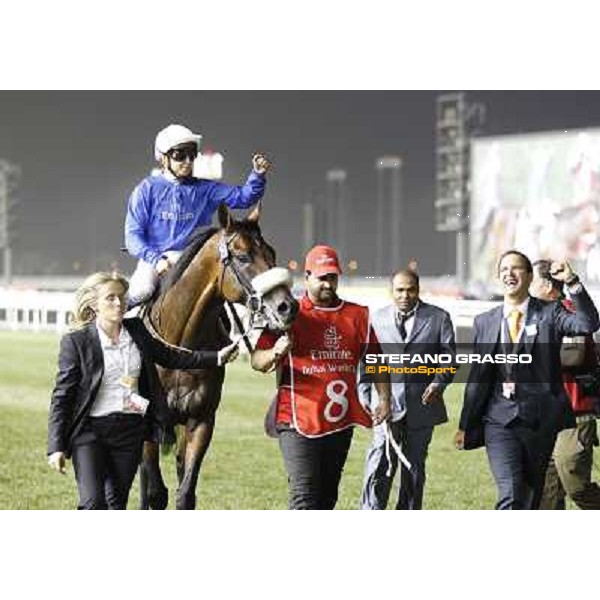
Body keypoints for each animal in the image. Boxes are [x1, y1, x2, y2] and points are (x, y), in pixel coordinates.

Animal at [141, 204, 300, 508]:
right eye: (243, 255)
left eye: (271, 253)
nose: (287, 306)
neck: (179, 347)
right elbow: (154, 491)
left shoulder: (201, 420)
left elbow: (185, 492)